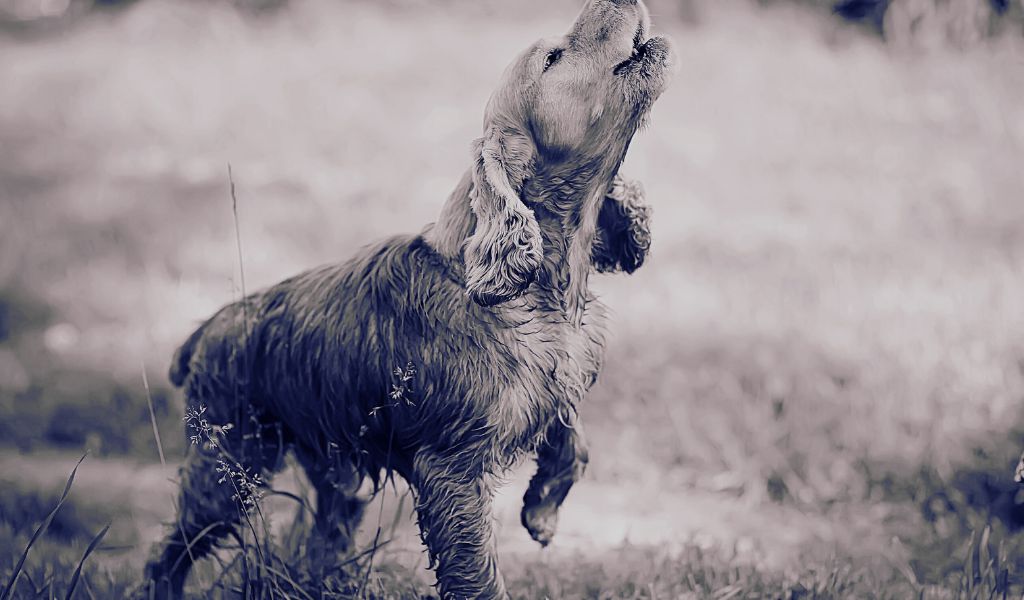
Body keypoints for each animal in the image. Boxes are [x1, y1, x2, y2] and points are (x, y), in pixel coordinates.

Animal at [142, 1, 671, 597]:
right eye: (553, 58)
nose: (620, 2)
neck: (538, 292)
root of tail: (203, 330)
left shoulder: (555, 389)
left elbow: (573, 443)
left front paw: (541, 513)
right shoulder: (452, 471)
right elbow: (477, 573)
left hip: (336, 475)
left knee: (318, 542)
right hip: (230, 466)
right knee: (171, 551)